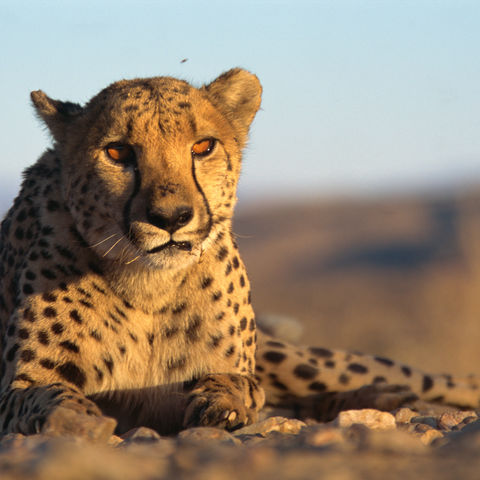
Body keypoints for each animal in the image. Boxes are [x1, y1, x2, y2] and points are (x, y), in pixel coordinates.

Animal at [0, 67, 480, 438]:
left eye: (203, 146)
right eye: (117, 151)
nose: (171, 217)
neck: (150, 284)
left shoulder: (230, 371)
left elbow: (242, 384)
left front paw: (222, 399)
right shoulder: (19, 389)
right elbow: (51, 395)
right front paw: (77, 417)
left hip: (297, 359)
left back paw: (388, 395)